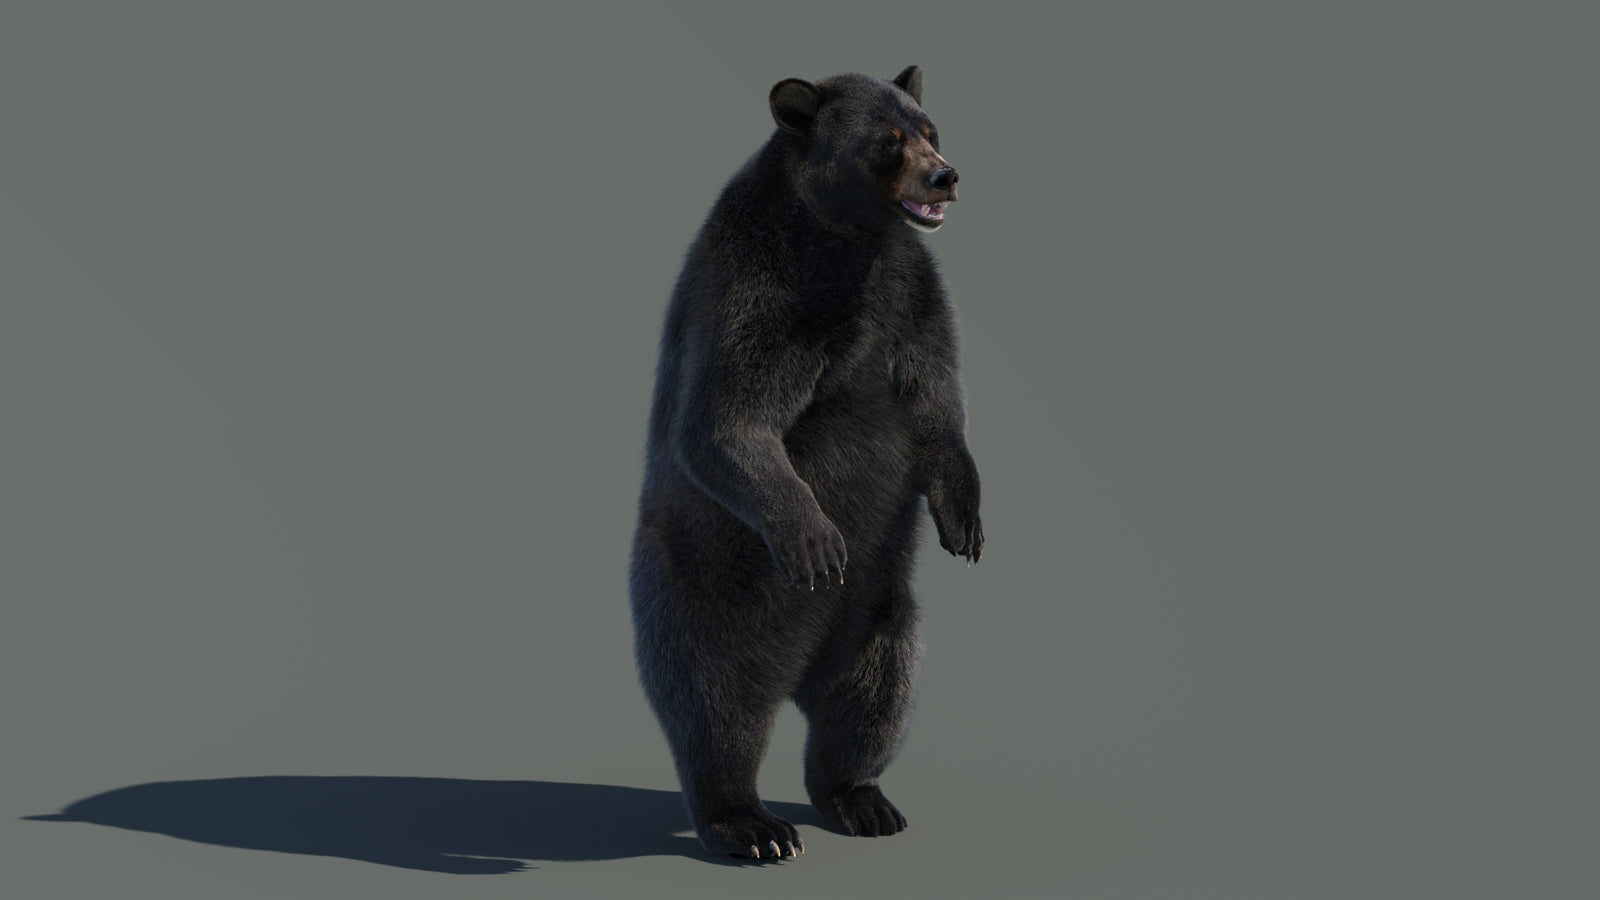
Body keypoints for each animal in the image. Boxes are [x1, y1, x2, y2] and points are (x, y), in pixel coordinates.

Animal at [628, 65, 983, 861]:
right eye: (888, 140)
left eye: (931, 129)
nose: (945, 176)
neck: (847, 240)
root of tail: (795, 672)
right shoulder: (761, 289)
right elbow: (727, 420)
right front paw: (816, 539)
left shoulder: (911, 293)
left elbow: (937, 401)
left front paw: (965, 522)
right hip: (703, 594)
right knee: (715, 706)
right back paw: (751, 825)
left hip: (881, 612)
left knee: (874, 694)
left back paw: (862, 800)